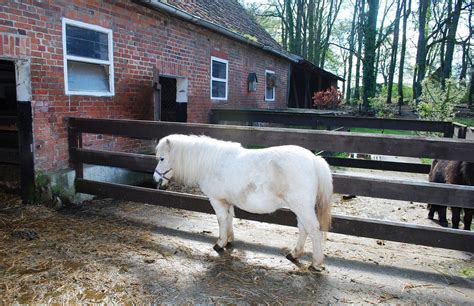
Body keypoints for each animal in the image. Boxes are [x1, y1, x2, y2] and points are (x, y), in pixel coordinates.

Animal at [154, 134, 332, 270]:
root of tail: (314, 160)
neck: (210, 162)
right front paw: (229, 240)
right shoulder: (228, 201)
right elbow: (229, 218)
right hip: (300, 208)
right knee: (303, 229)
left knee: (314, 231)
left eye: (162, 158)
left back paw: (316, 264)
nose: (156, 178)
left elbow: (221, 220)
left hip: (302, 207)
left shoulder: (217, 200)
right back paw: (294, 254)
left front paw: (220, 243)